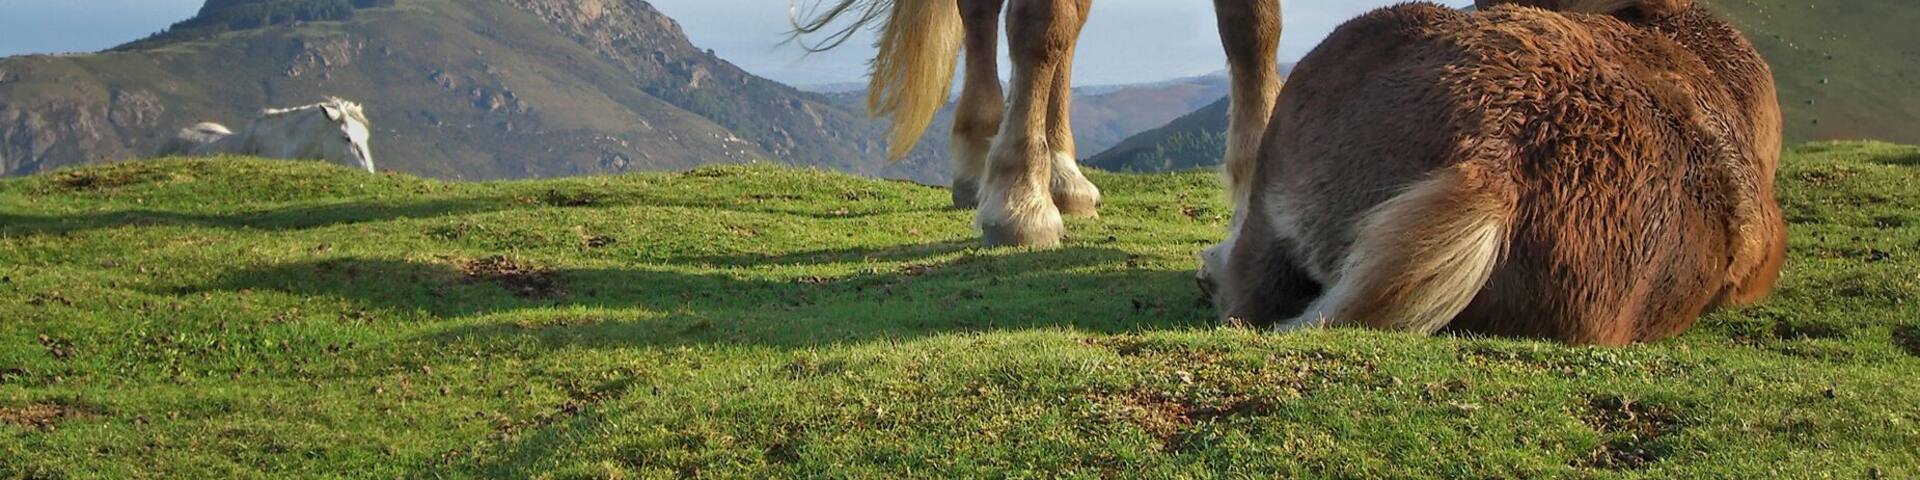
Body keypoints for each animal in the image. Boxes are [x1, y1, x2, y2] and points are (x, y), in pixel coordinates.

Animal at [793, 0, 1283, 247]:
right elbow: (1040, 23)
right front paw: (1018, 201)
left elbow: (1256, 24)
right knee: (984, 12)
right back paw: (981, 160)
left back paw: (1063, 173)